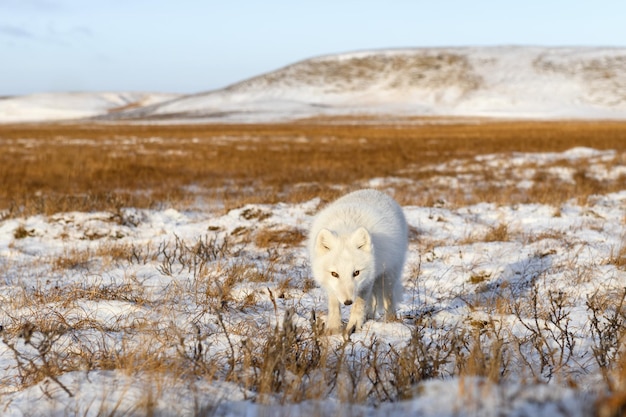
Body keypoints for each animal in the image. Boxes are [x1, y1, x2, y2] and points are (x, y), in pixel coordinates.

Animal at [308, 190, 410, 334]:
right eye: (334, 274)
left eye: (356, 273)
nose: (347, 302)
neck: (345, 229)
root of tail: (376, 191)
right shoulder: (331, 285)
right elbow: (334, 305)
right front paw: (333, 328)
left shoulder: (368, 280)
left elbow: (359, 306)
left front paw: (354, 326)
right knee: (373, 302)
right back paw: (369, 318)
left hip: (388, 275)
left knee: (388, 300)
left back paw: (391, 321)